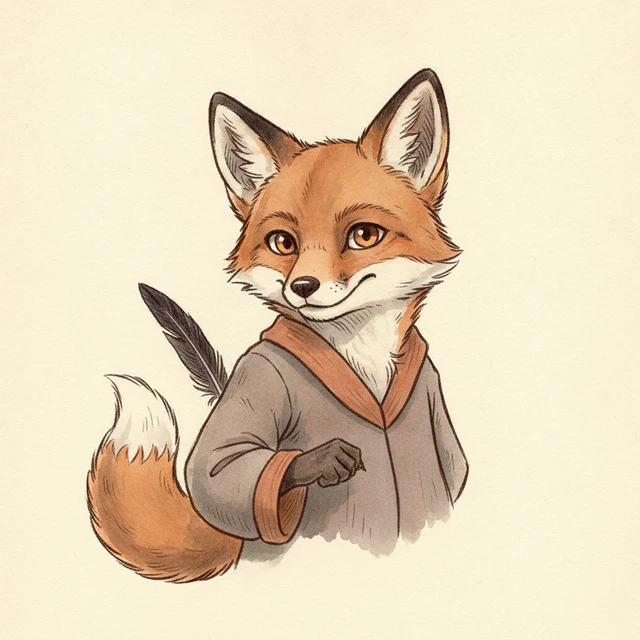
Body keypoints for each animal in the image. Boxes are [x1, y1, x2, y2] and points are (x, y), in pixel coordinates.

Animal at [87, 69, 468, 582]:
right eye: (283, 242)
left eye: (364, 235)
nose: (303, 286)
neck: (364, 356)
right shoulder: (257, 379)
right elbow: (217, 470)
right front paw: (318, 462)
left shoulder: (430, 401)